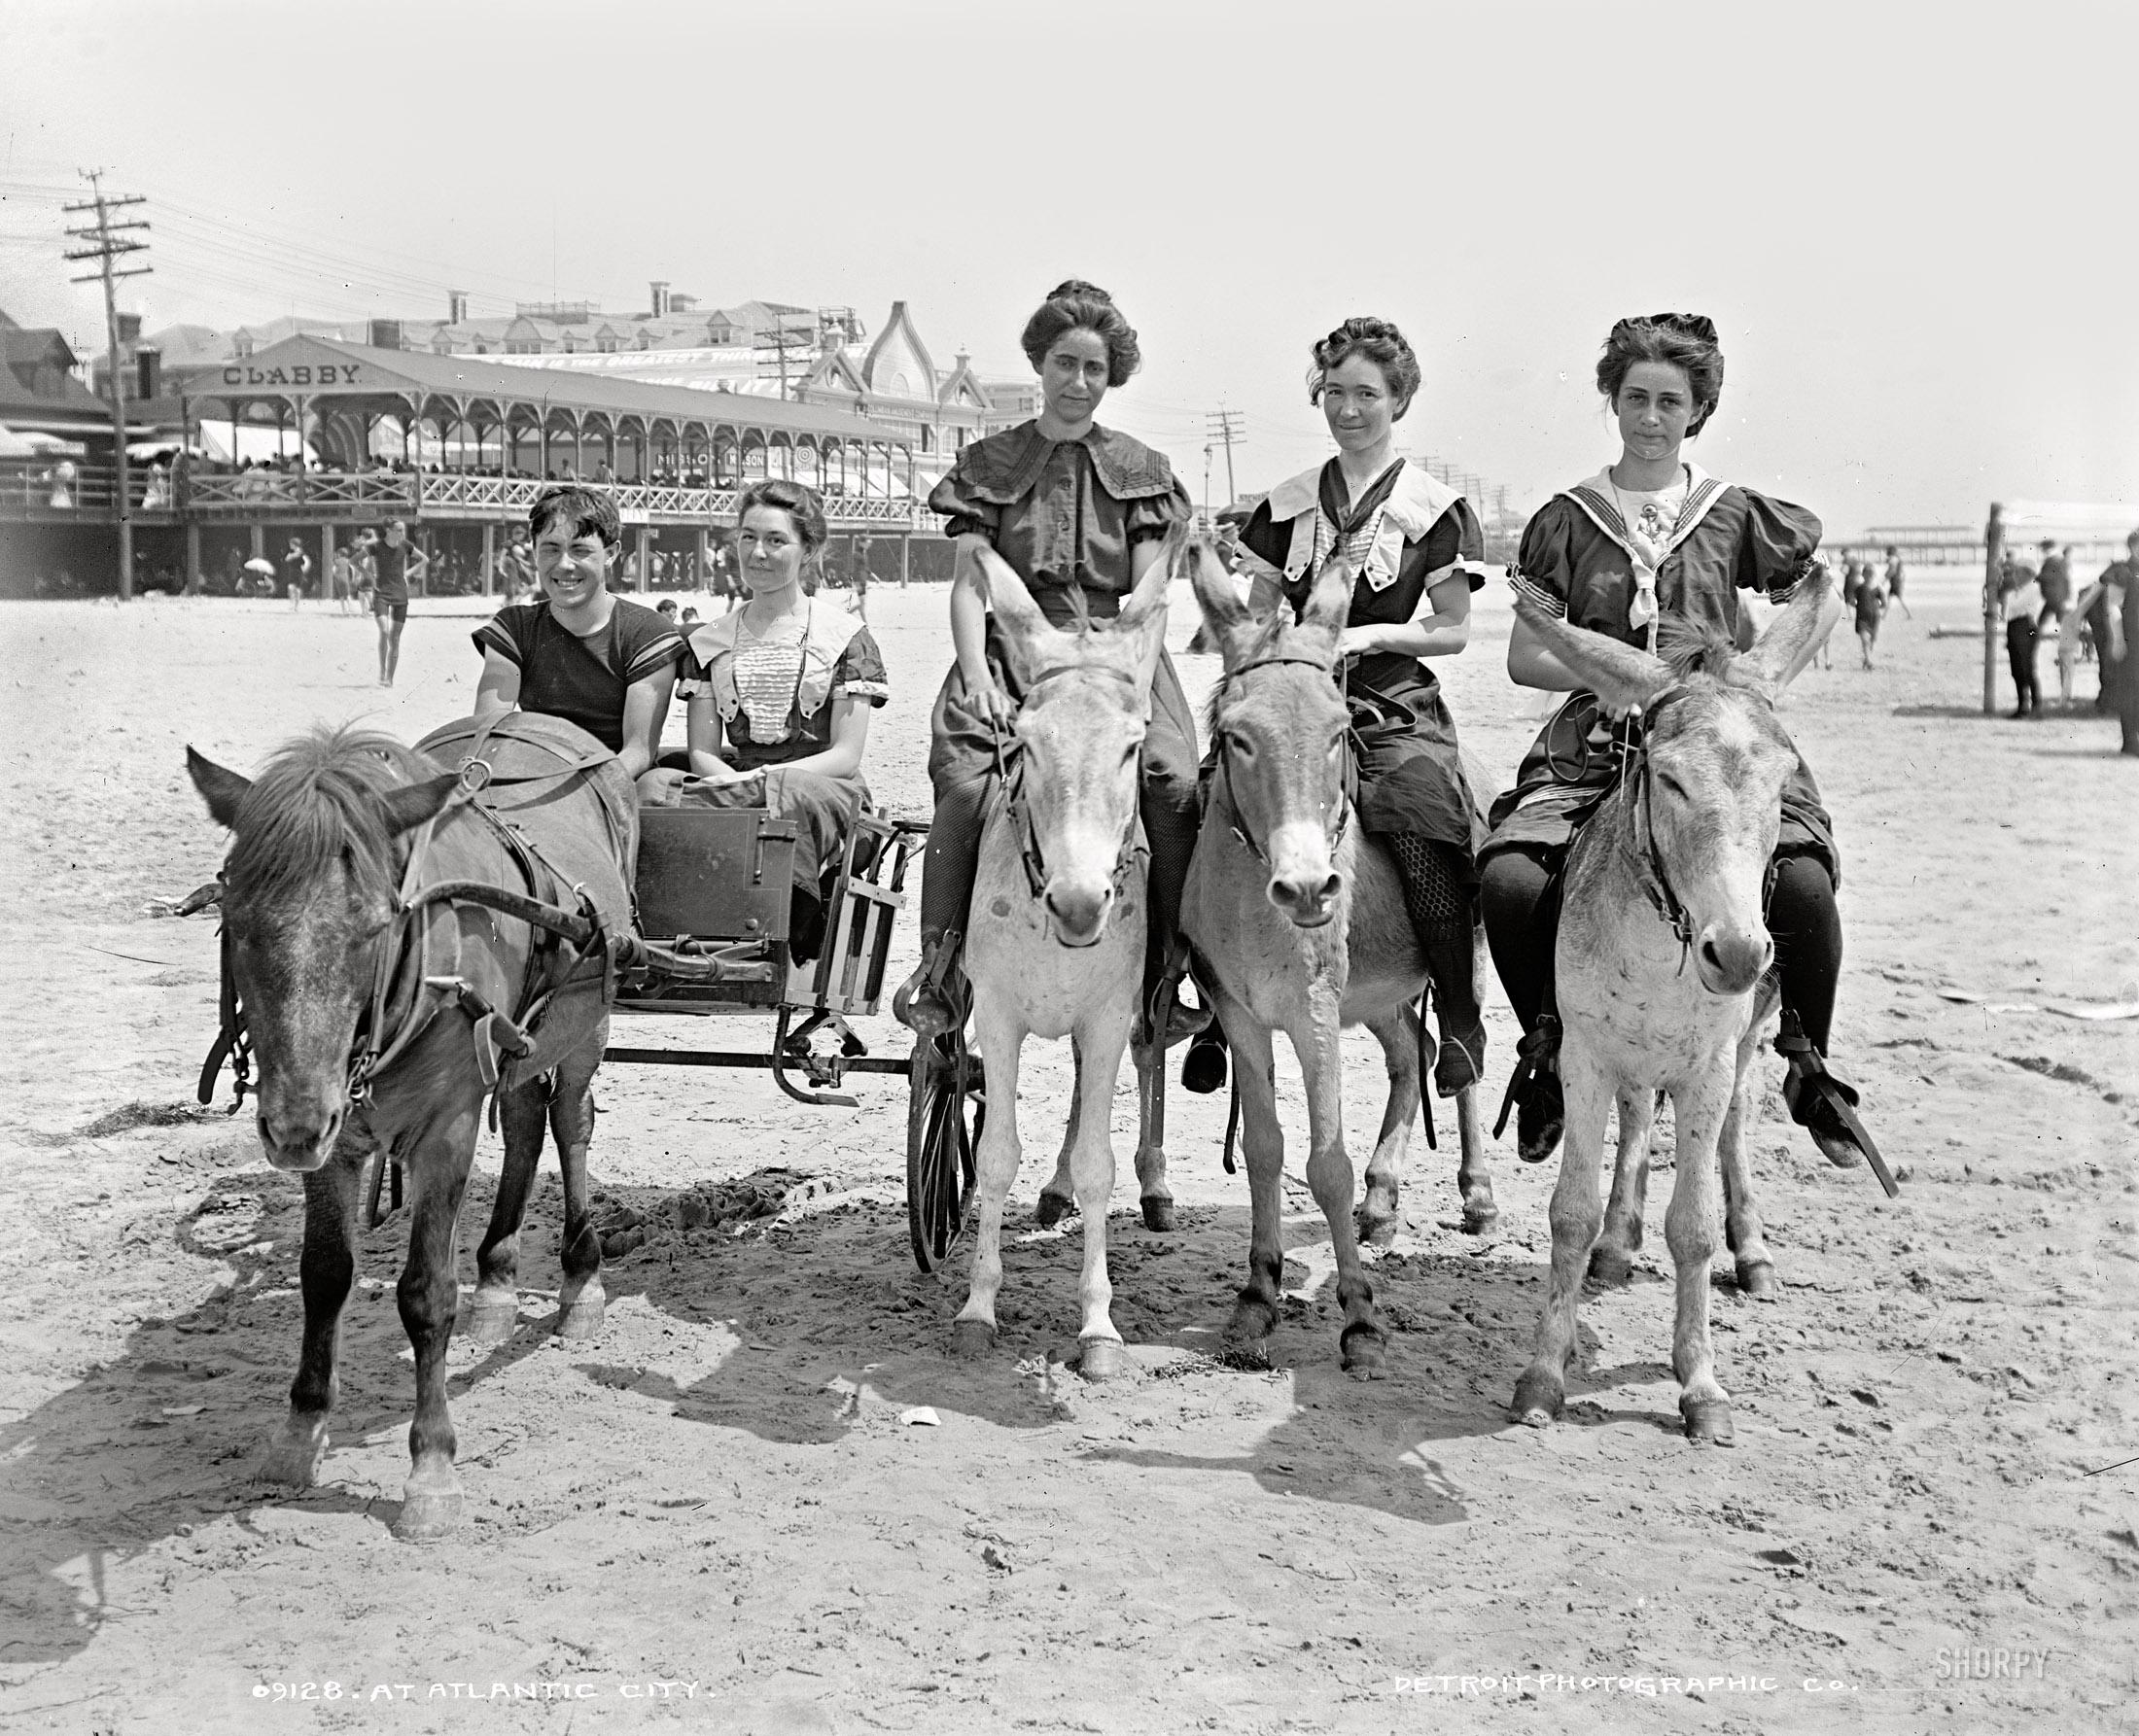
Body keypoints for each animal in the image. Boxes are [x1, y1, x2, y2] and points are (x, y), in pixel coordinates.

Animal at [190, 713, 633, 1530]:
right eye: (236, 921)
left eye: (374, 927)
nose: (292, 1126)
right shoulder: (337, 1139)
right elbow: (324, 1276)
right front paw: (299, 1433)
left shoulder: (445, 1131)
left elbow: (427, 1296)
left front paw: (432, 1468)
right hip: (516, 1042)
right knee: (523, 1118)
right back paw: (498, 1280)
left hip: (589, 1023)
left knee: (569, 1122)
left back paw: (580, 1279)